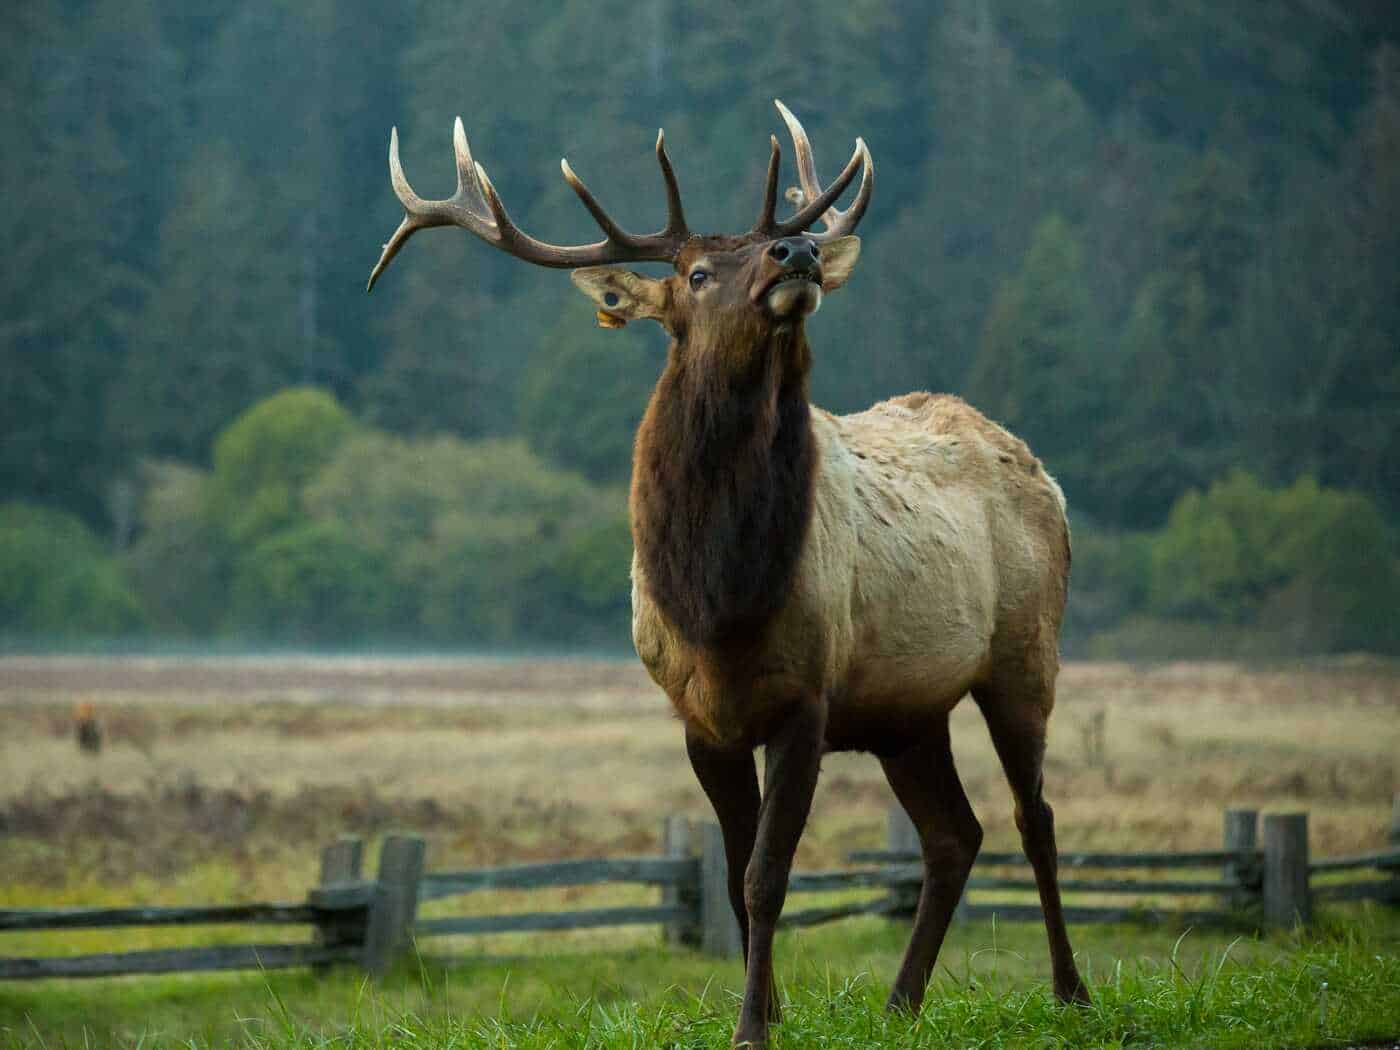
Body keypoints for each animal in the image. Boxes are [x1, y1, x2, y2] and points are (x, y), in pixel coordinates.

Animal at [368, 100, 1089, 1046]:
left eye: (766, 248)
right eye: (699, 272)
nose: (799, 251)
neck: (719, 601)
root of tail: (1038, 467)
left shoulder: (807, 700)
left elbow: (764, 877)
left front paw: (753, 1024)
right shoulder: (698, 715)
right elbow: (740, 873)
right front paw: (769, 1014)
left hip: (1024, 651)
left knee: (1033, 817)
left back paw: (1071, 991)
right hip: (906, 710)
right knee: (953, 835)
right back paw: (900, 1003)